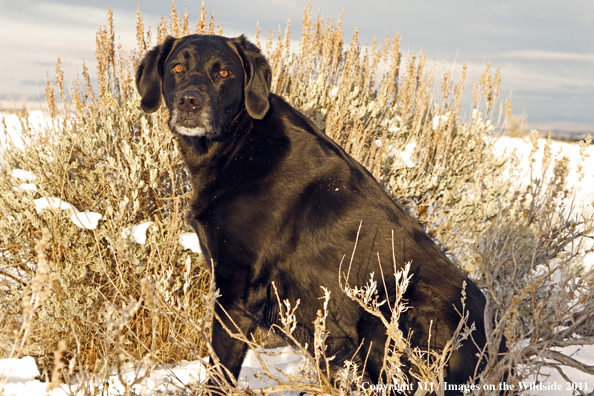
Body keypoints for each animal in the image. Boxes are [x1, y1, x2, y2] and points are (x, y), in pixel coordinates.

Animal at [138, 34, 490, 392]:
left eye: (224, 73)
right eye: (177, 68)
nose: (189, 101)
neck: (240, 143)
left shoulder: (237, 292)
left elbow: (219, 373)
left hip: (392, 314)